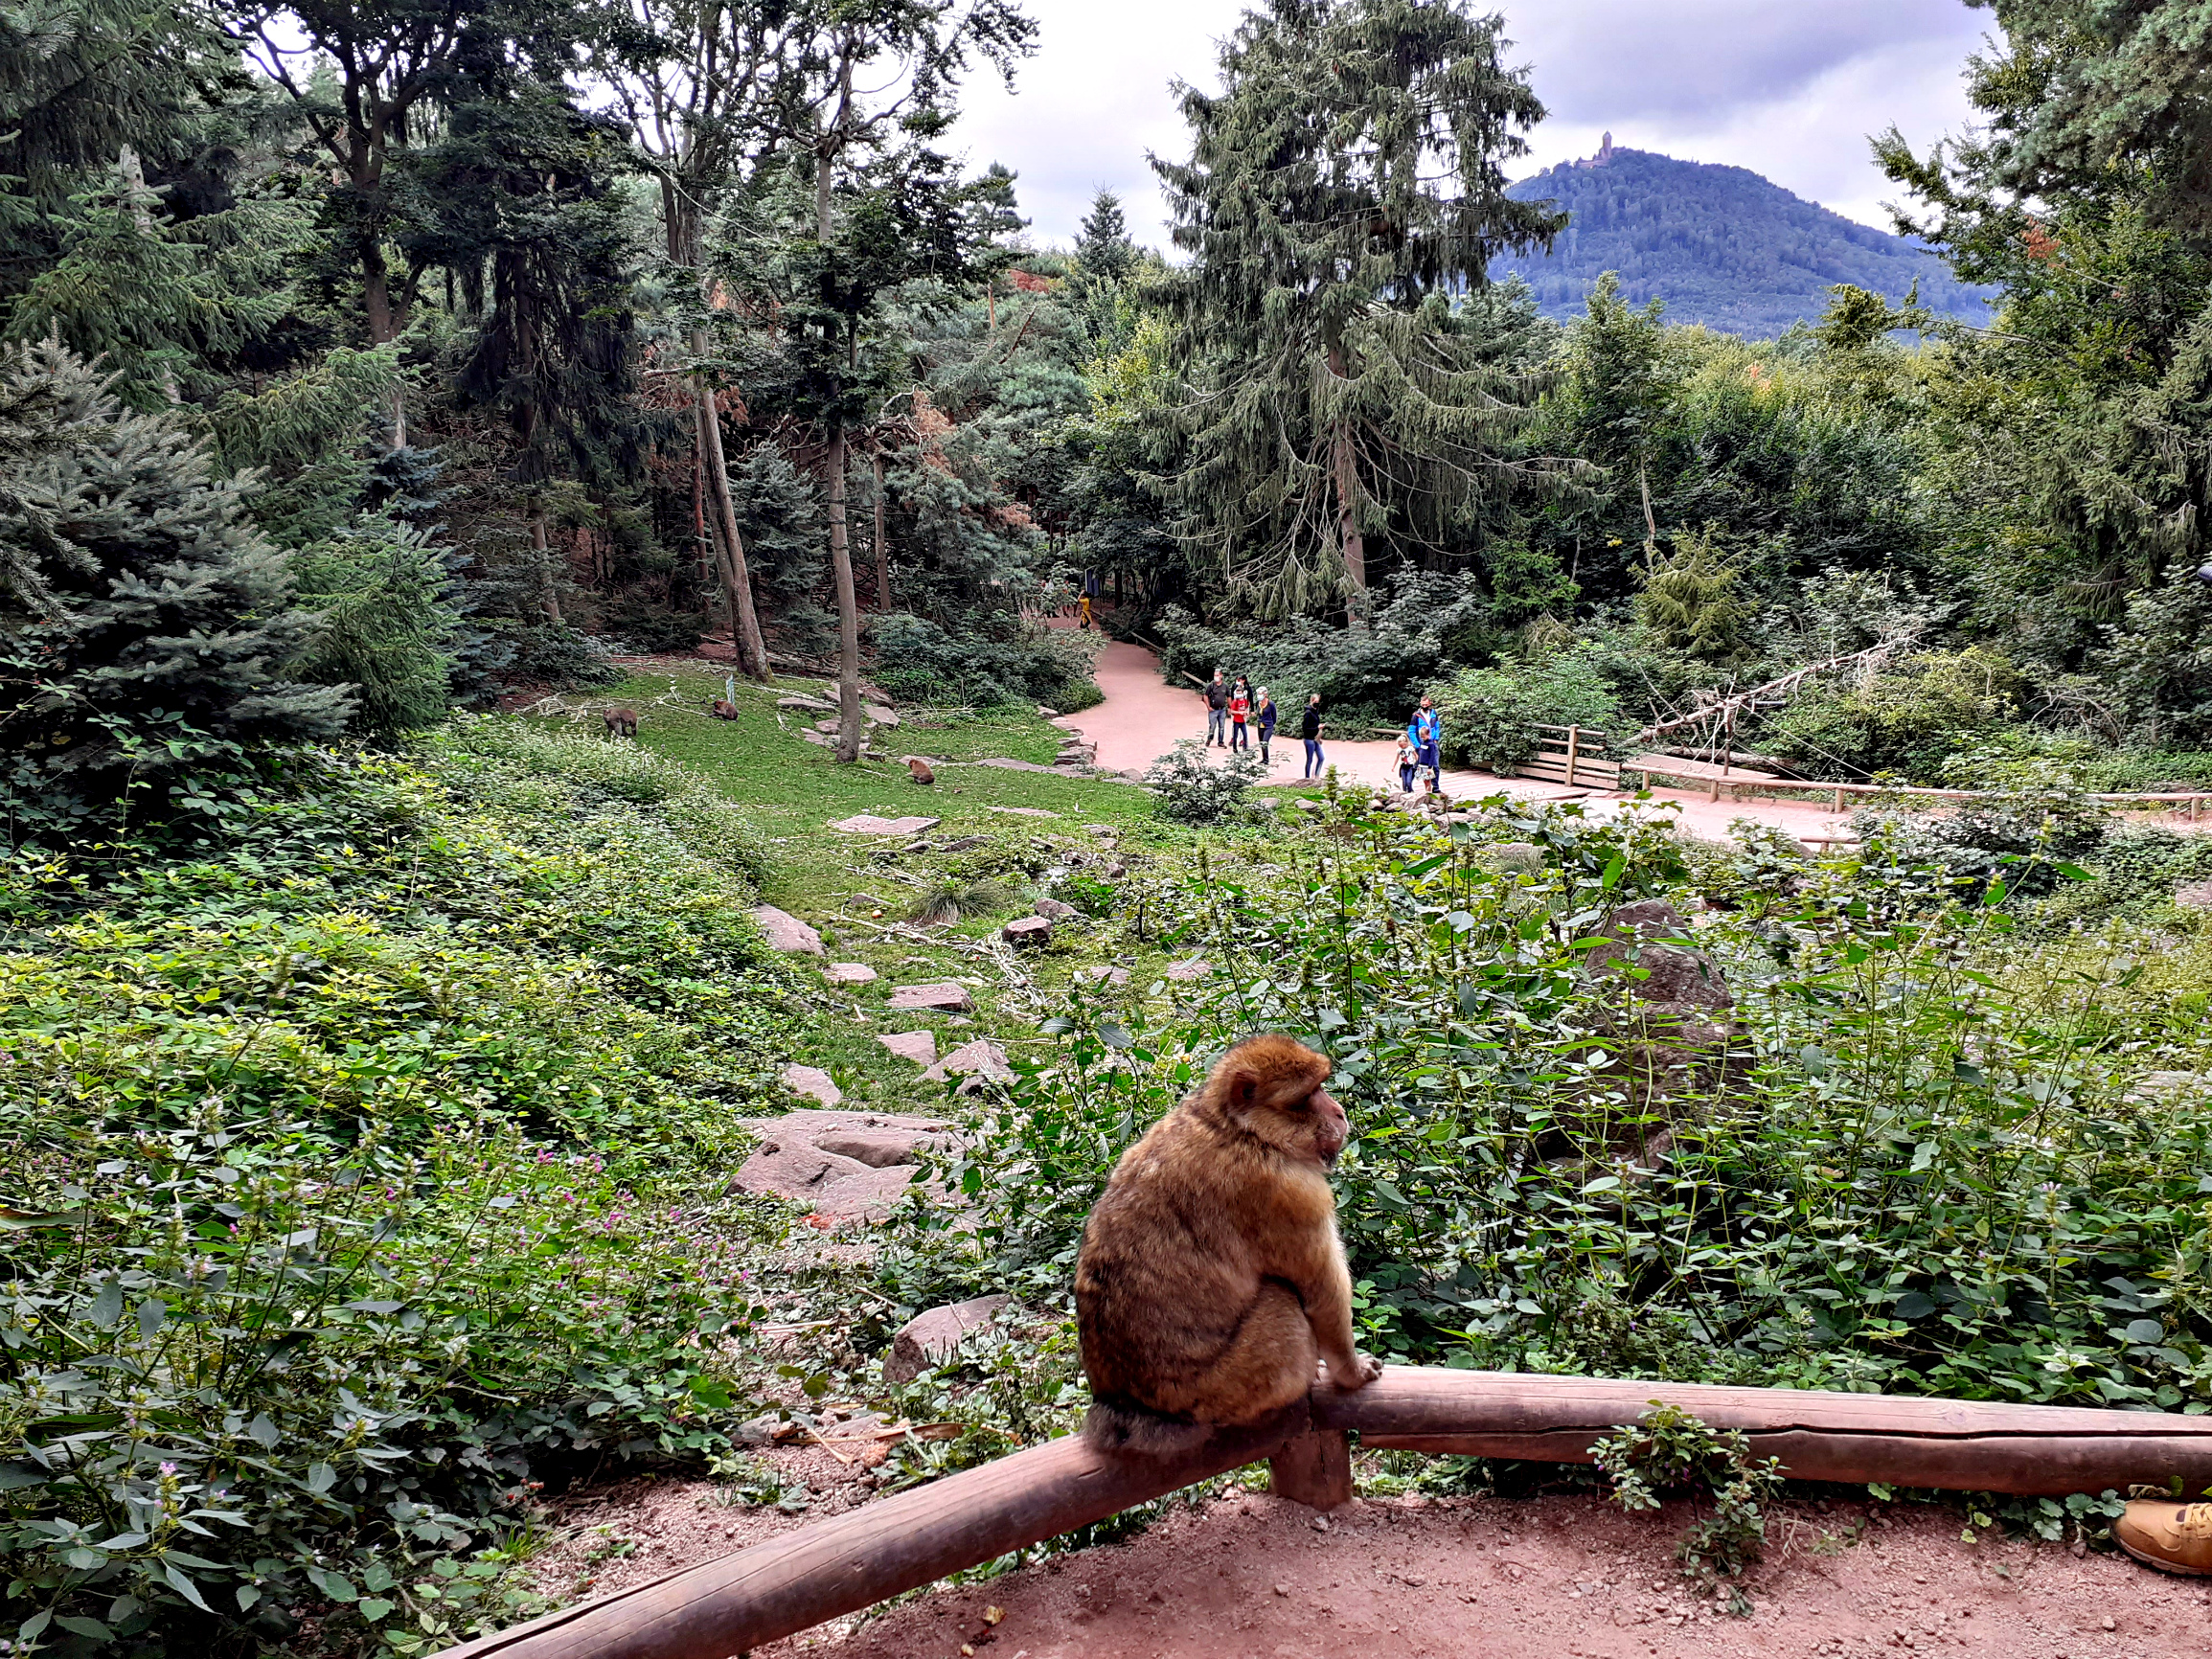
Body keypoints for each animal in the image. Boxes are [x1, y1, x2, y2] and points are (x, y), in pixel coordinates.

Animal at [1075, 1026, 1371, 1450]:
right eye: (1307, 1097)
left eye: (1322, 1087)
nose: (1339, 1113)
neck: (1238, 1129)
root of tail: (1125, 1406)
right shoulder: (1292, 1194)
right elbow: (1324, 1295)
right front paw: (1352, 1373)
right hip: (1225, 1389)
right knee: (1284, 1302)